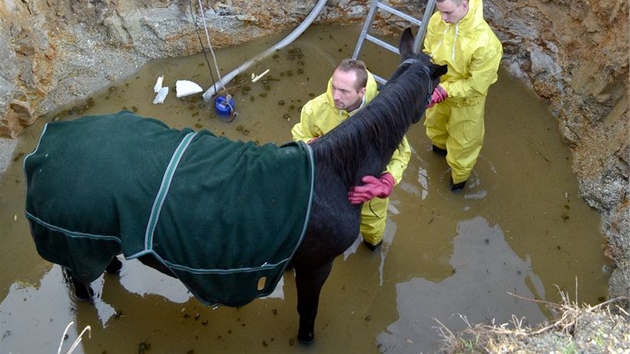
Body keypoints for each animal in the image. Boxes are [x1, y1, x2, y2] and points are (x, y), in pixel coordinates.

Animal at [23, 28, 450, 346]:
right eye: (431, 88)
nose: (435, 102)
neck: (334, 174)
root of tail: (43, 151)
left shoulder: (292, 258)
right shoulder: (318, 264)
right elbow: (307, 312)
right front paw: (306, 341)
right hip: (74, 243)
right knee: (82, 285)